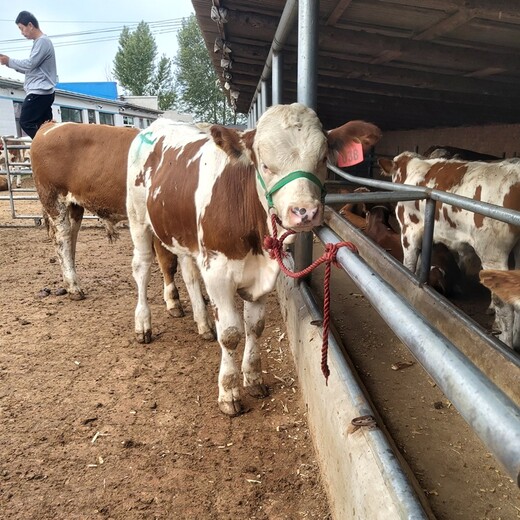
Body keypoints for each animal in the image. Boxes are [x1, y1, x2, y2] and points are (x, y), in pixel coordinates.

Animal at [30, 121, 185, 318]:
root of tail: (51, 125)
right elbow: (168, 262)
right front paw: (173, 302)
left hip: (74, 206)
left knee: (71, 240)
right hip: (54, 201)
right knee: (62, 241)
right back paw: (73, 287)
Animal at [124, 103, 380, 416]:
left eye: (321, 160)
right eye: (265, 165)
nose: (304, 211)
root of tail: (159, 123)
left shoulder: (261, 276)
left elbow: (255, 327)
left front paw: (253, 378)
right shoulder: (218, 273)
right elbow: (231, 333)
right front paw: (229, 392)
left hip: (183, 236)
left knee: (189, 273)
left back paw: (202, 323)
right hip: (138, 218)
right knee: (142, 267)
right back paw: (143, 324)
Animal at [378, 152, 520, 352]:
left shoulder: (409, 231)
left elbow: (409, 265)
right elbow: (420, 266)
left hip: (492, 252)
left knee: (504, 302)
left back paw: (506, 343)